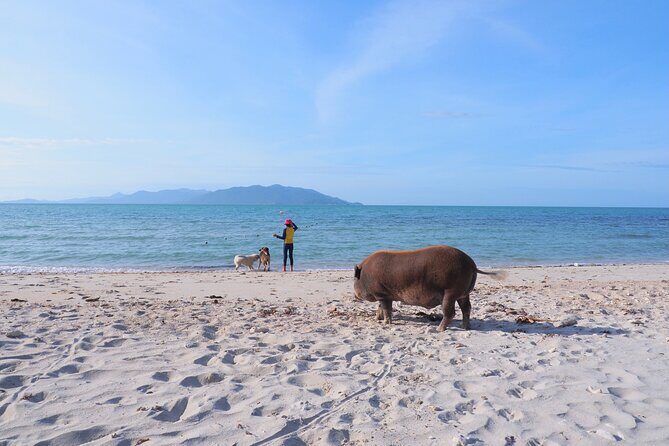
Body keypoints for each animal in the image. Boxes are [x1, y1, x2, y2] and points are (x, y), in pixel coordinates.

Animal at [353, 245, 504, 331]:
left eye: (354, 278)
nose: (355, 295)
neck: (365, 274)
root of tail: (472, 264)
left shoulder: (382, 294)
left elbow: (386, 309)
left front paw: (386, 323)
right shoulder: (384, 295)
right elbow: (381, 307)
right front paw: (378, 319)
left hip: (450, 292)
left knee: (450, 312)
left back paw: (439, 329)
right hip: (463, 293)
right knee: (466, 308)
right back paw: (465, 327)